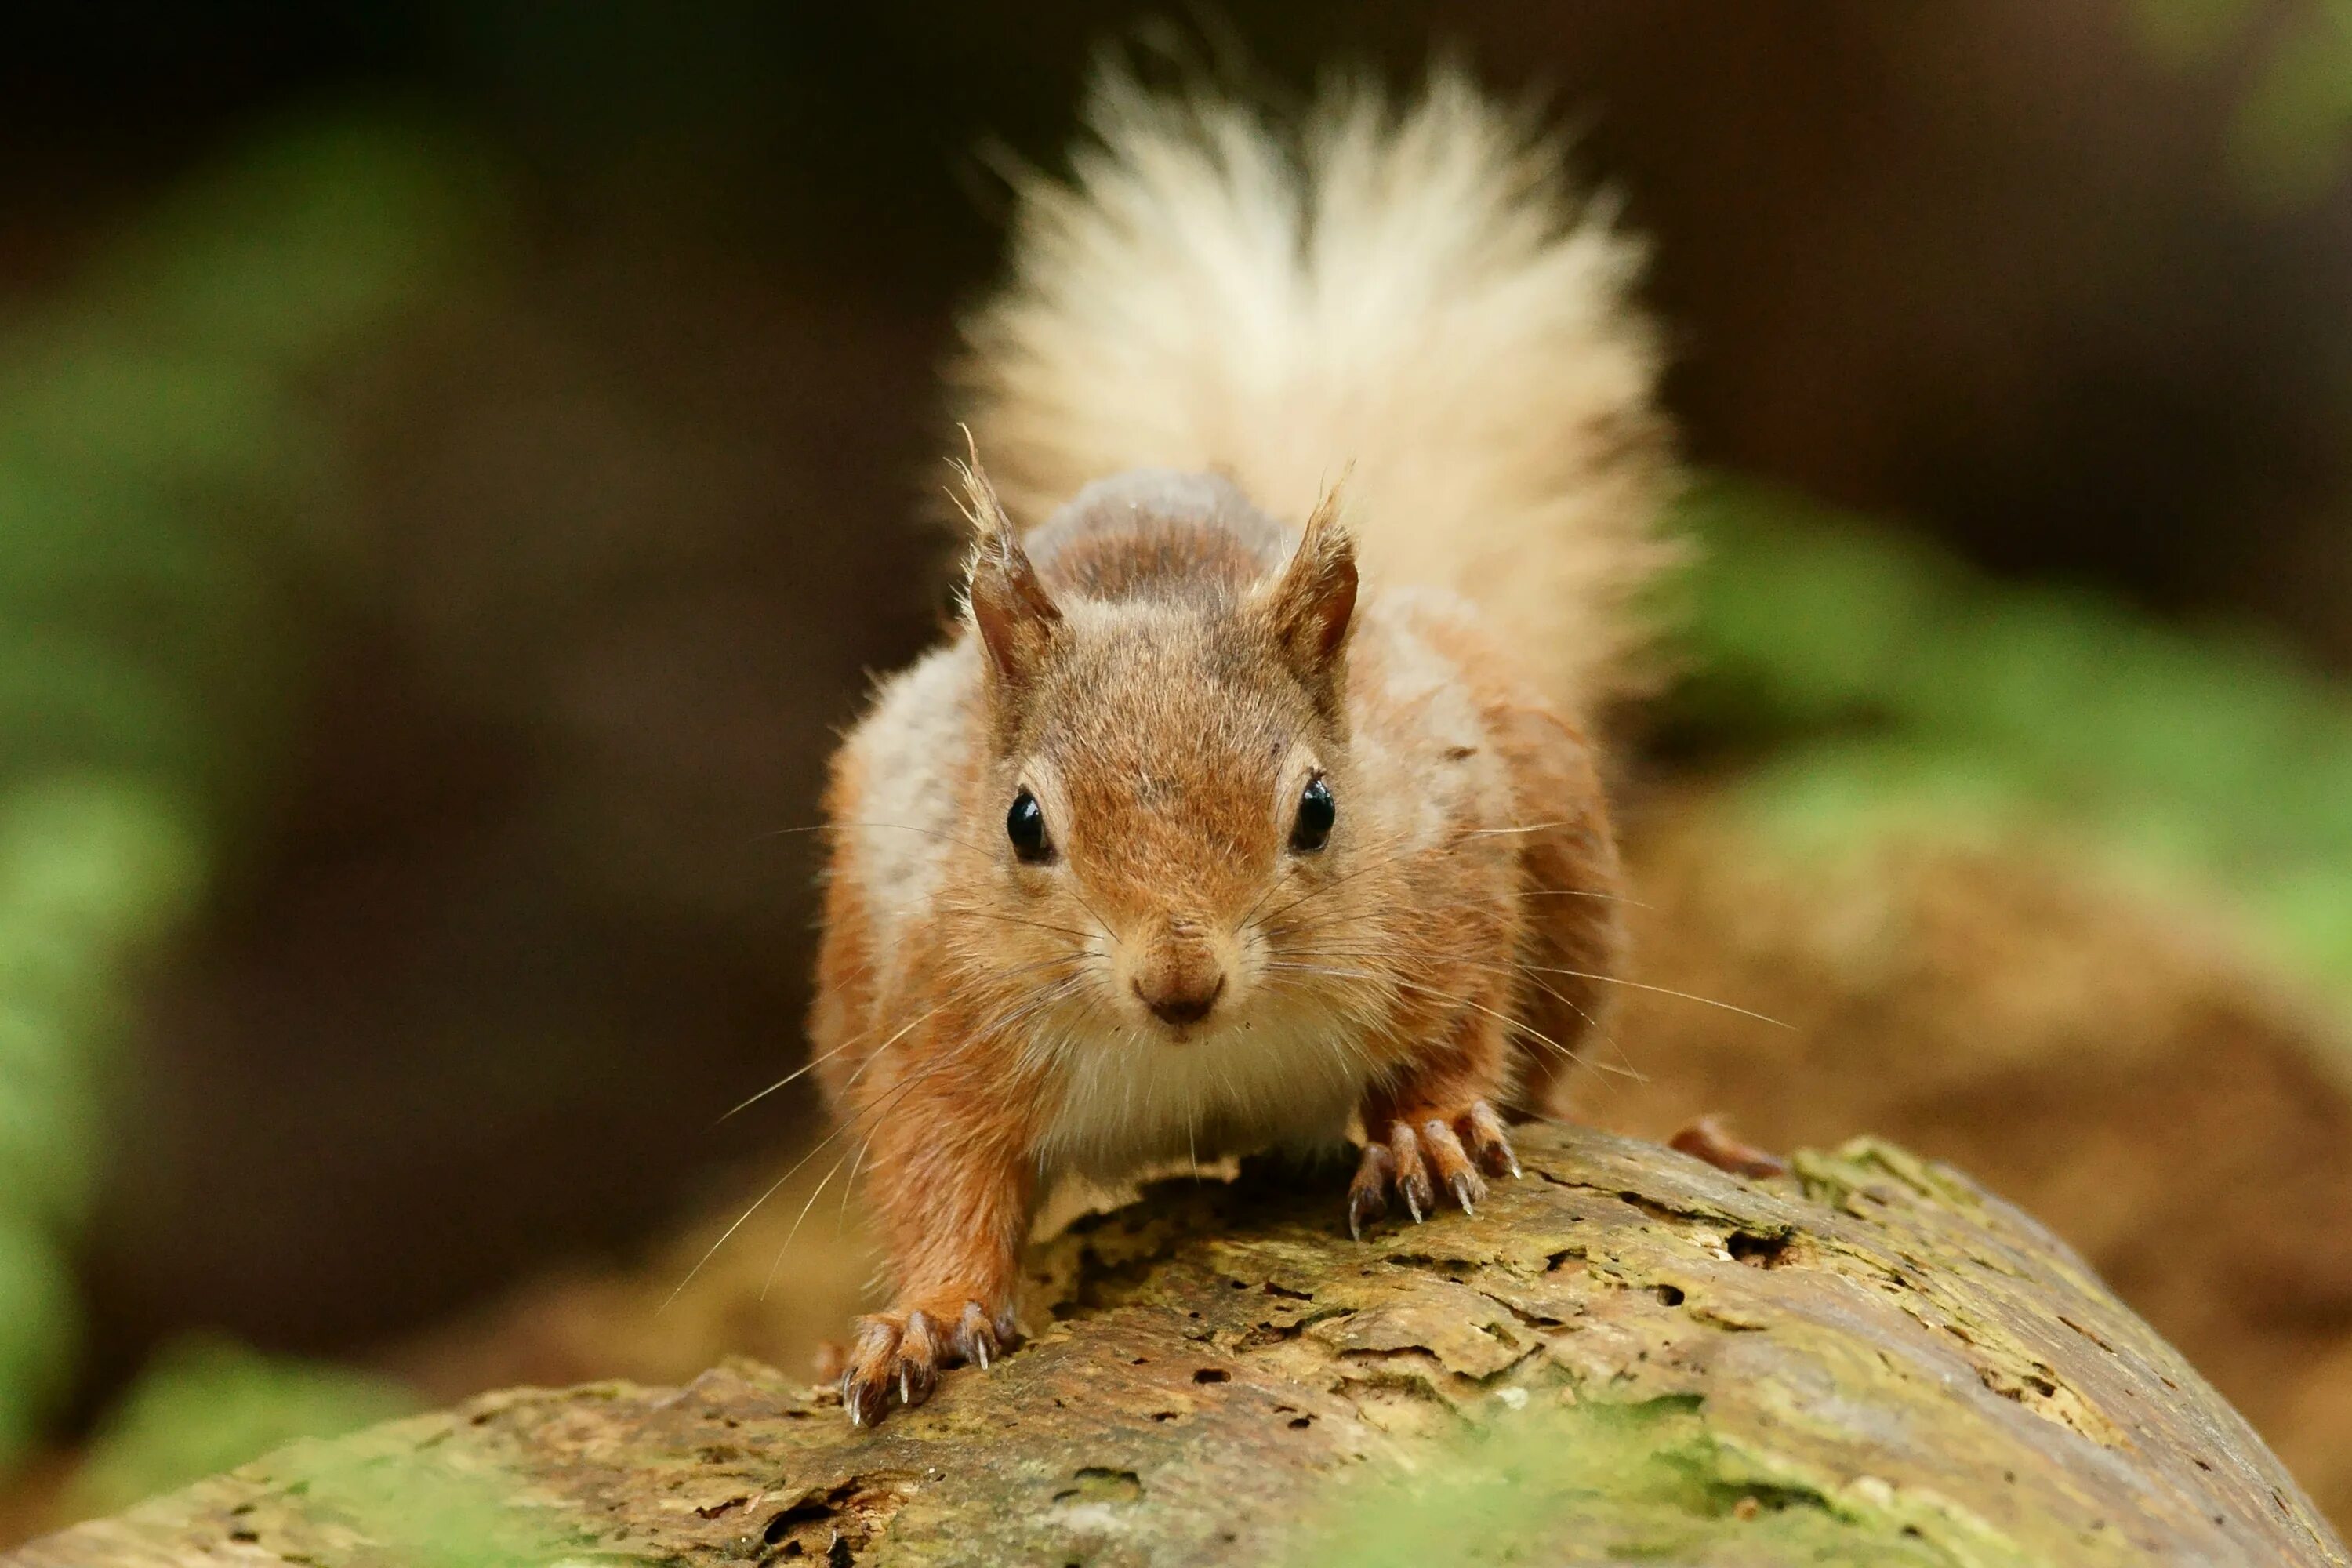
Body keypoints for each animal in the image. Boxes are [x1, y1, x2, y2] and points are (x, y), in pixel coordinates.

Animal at [809, 70, 1675, 1420]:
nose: (1180, 983)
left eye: (1319, 808)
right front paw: (926, 1320)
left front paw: (1428, 1130)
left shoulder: (1451, 865)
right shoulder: (929, 1007)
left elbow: (1458, 1025)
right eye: (1021, 822)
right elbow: (935, 1170)